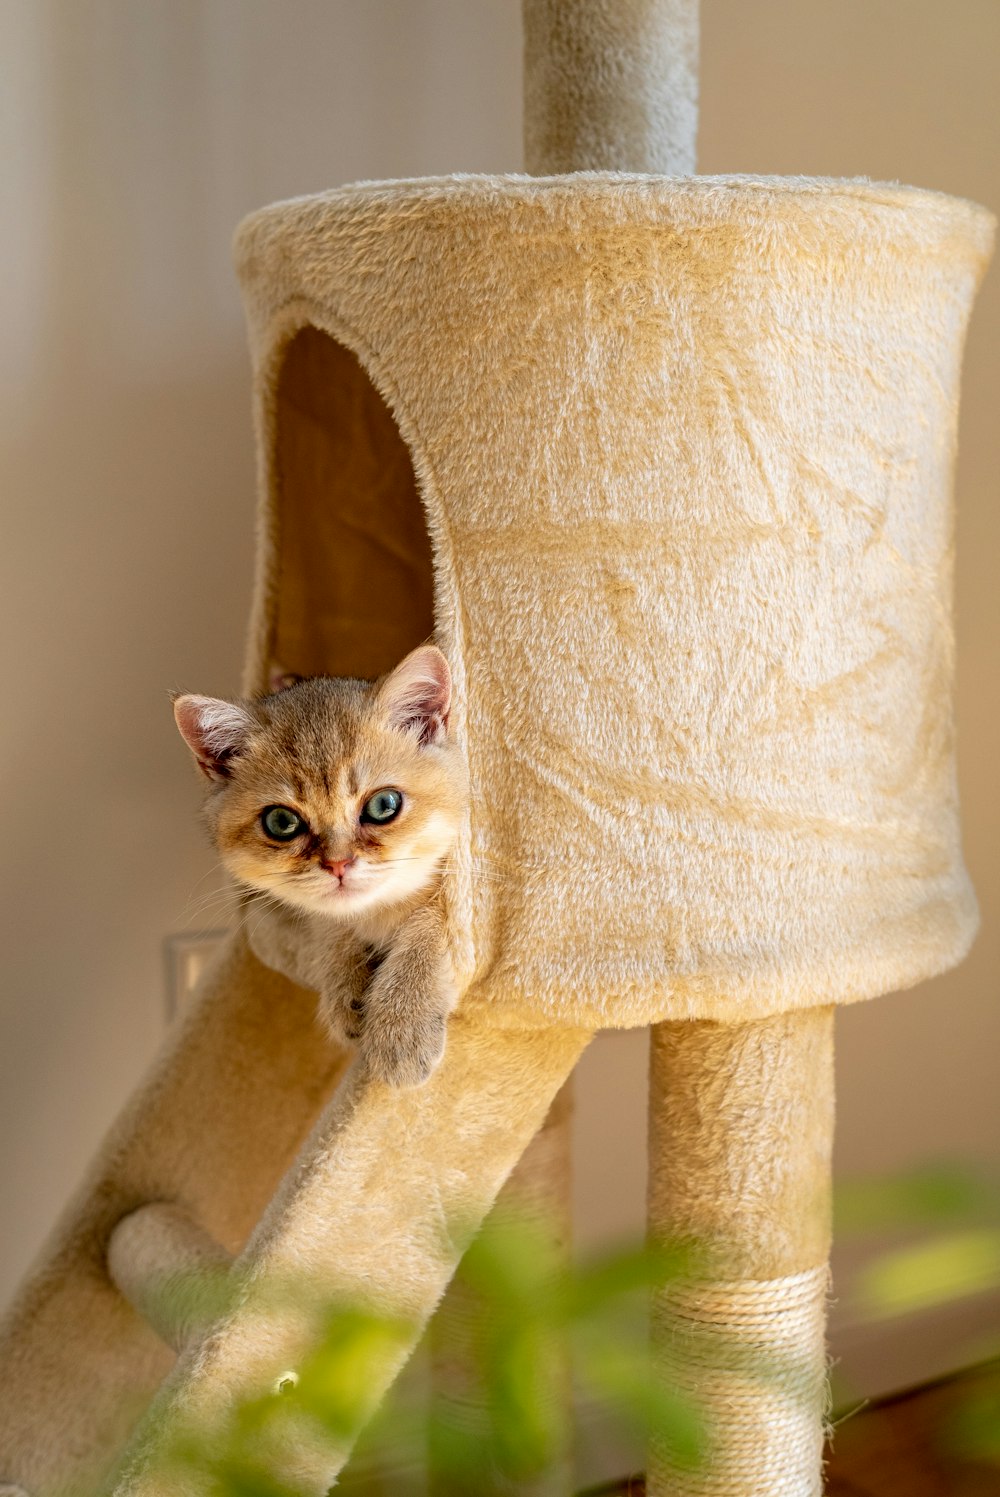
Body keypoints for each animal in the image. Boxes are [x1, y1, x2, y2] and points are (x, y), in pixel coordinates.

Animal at [173, 646, 467, 1089]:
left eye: (384, 805)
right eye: (281, 822)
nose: (338, 864)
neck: (375, 914)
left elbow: (429, 924)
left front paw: (402, 1021)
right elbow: (326, 925)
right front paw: (344, 984)